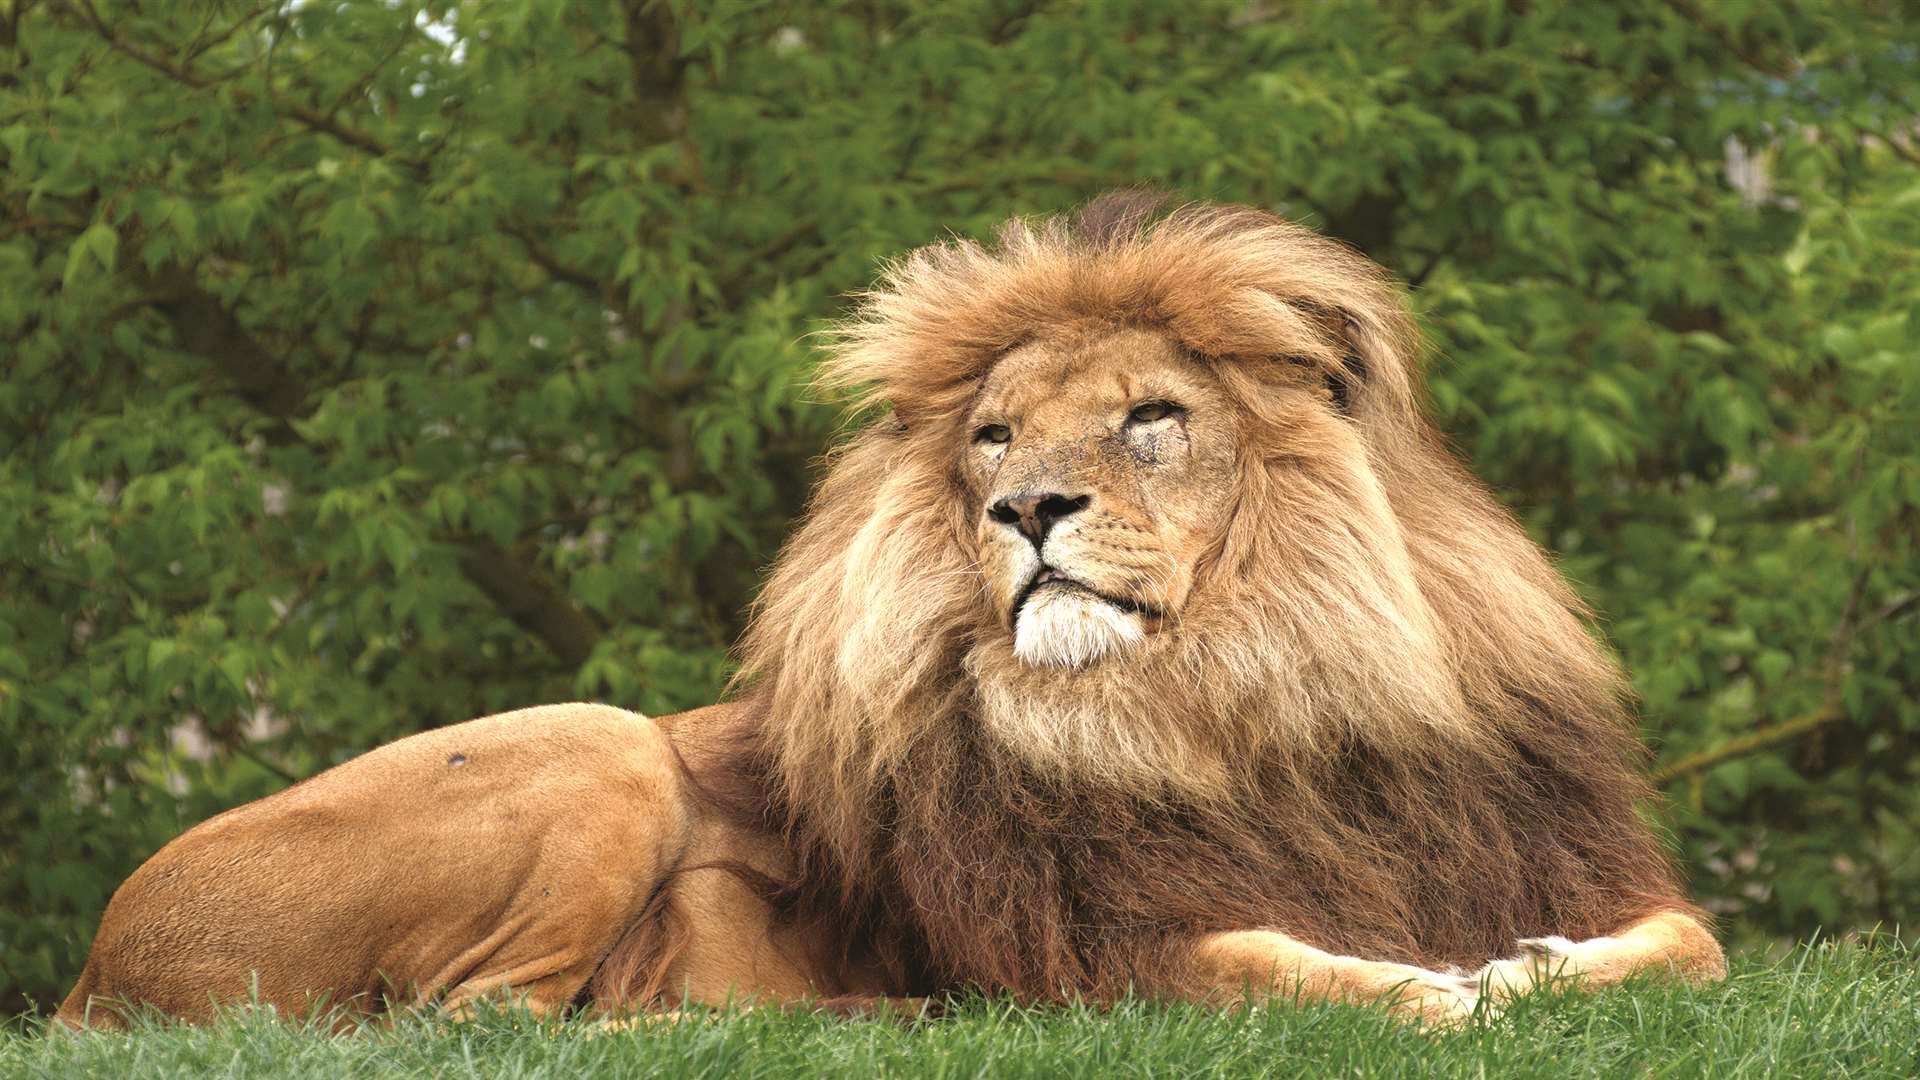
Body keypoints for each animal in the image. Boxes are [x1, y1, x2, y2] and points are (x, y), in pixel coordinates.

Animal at [56, 193, 1728, 1022]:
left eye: (1152, 417)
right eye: (992, 435)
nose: (1025, 510)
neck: (1235, 700)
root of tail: (88, 970)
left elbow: (1694, 943)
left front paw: (1533, 967)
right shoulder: (1090, 951)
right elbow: (1277, 973)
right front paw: (1444, 993)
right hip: (605, 741)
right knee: (476, 1025)